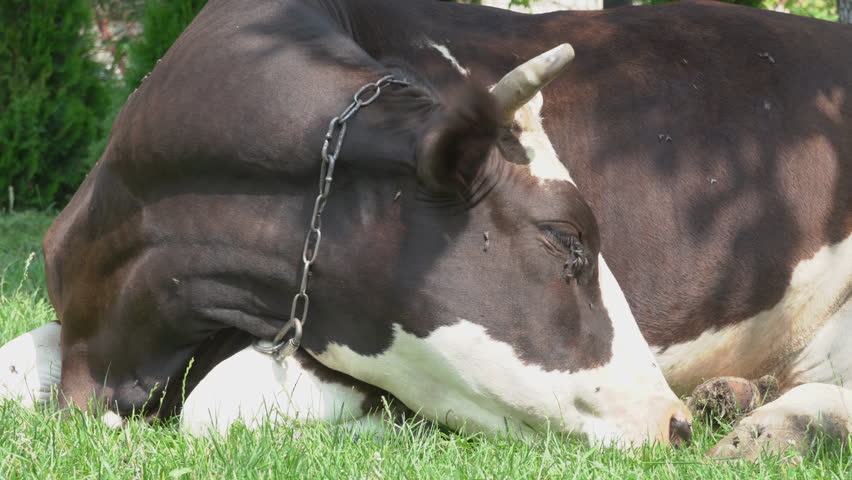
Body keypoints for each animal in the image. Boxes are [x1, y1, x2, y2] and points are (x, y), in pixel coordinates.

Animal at [0, 0, 849, 455]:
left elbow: (216, 408)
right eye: (567, 240)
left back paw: (777, 428)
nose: (672, 424)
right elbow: (13, 369)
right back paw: (733, 400)